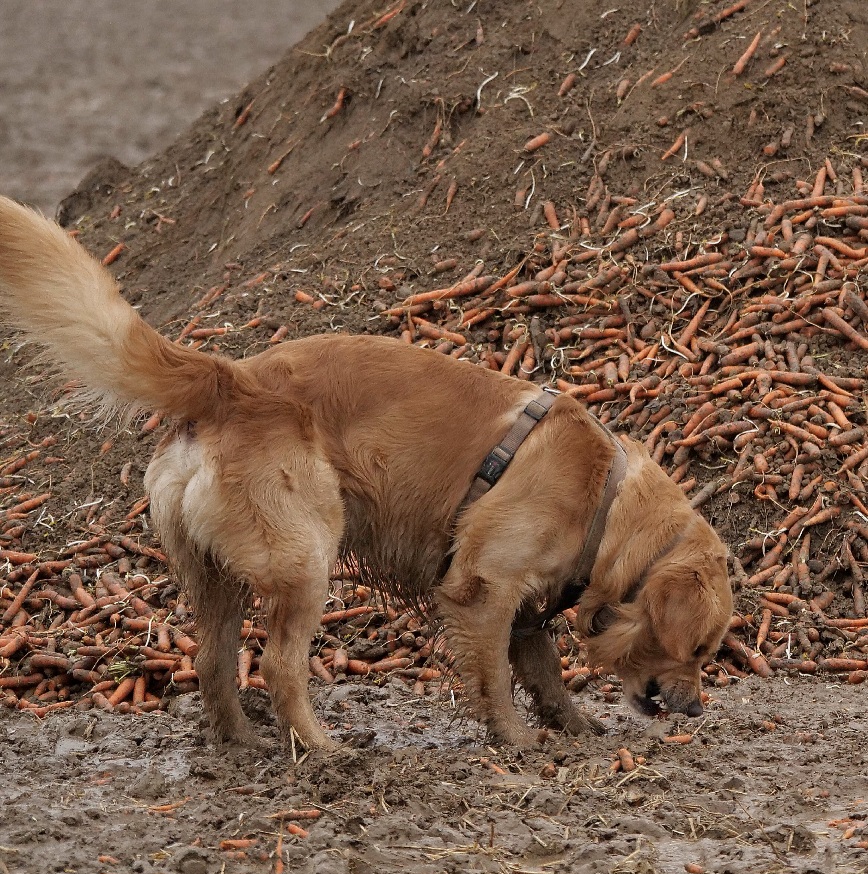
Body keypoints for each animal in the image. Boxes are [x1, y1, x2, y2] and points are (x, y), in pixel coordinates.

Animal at [0, 198, 732, 748]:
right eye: (700, 649)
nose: (698, 709)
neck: (602, 497)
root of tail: (229, 381)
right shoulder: (484, 590)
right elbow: (496, 680)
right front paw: (519, 745)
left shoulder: (524, 610)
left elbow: (545, 676)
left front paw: (575, 731)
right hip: (305, 559)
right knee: (278, 666)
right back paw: (322, 749)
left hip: (219, 577)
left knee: (212, 662)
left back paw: (243, 745)